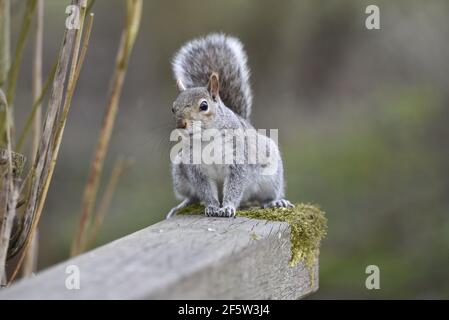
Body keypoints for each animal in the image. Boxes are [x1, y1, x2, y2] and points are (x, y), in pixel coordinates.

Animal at [166, 32, 292, 218]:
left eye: (204, 106)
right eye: (173, 108)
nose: (181, 124)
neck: (206, 139)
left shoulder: (238, 159)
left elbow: (234, 186)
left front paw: (227, 207)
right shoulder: (196, 168)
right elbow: (205, 190)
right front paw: (212, 206)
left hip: (270, 174)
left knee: (264, 196)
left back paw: (274, 202)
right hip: (179, 172)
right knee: (193, 196)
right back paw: (183, 204)